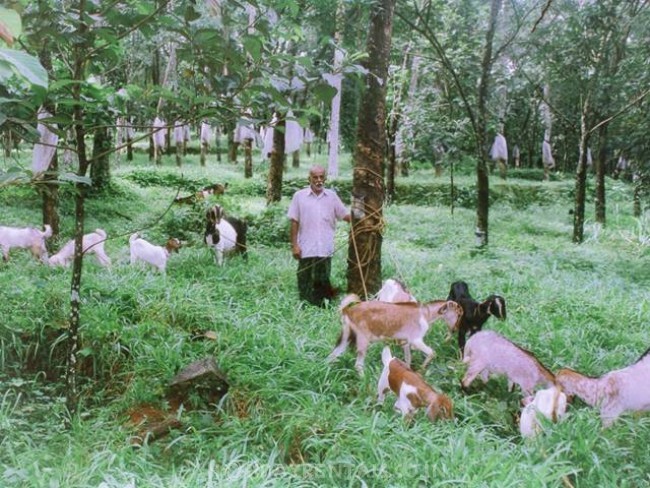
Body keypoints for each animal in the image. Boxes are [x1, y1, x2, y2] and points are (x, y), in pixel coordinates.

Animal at [326, 292, 464, 376]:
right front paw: (420, 370)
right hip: (362, 338)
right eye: (458, 314)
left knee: (333, 355)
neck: (426, 313)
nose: (456, 329)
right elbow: (432, 352)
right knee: (358, 365)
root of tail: (347, 310)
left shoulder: (406, 342)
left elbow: (408, 359)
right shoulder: (416, 340)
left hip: (346, 335)